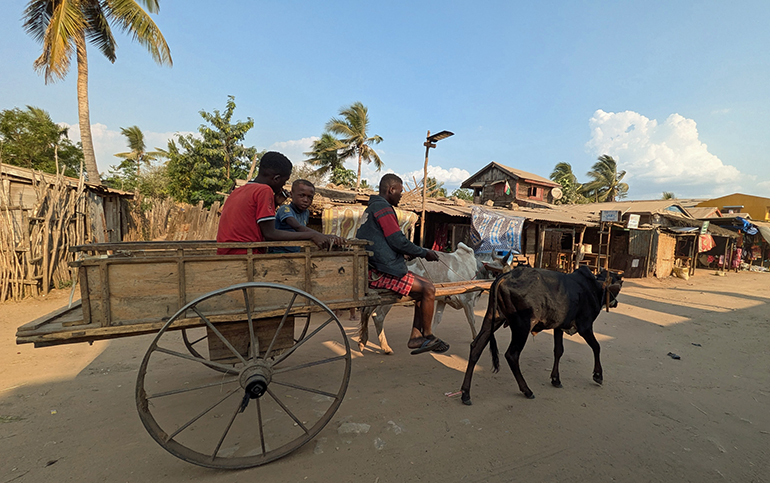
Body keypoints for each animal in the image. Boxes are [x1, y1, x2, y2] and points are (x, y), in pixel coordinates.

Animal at [460, 266, 620, 406]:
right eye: (617, 287)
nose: (616, 303)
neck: (593, 287)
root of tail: (505, 276)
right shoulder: (585, 326)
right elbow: (596, 347)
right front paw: (598, 375)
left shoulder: (559, 327)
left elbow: (558, 351)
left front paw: (556, 379)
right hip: (522, 326)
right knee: (511, 355)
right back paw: (527, 390)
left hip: (493, 319)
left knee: (476, 347)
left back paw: (465, 393)